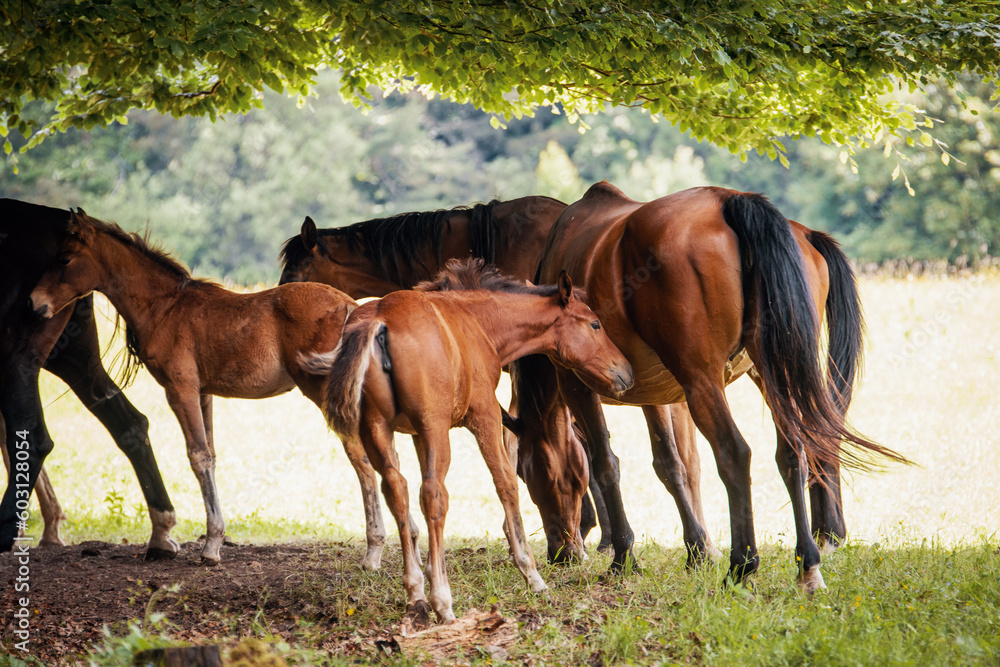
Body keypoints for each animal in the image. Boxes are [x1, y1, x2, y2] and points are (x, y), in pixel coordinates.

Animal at [1, 199, 175, 558]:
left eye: (66, 260)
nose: (34, 301)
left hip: (23, 355)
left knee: (33, 438)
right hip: (73, 357)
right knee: (130, 422)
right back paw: (161, 530)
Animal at [27, 210, 372, 566]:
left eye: (65, 258)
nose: (35, 302)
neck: (166, 307)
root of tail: (350, 306)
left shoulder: (180, 390)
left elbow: (198, 457)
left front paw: (210, 546)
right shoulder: (205, 393)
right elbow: (212, 454)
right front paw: (214, 540)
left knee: (360, 453)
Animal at [311, 258, 634, 623]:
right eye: (595, 324)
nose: (626, 372)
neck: (477, 321)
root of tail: (379, 320)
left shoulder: (416, 434)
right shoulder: (484, 415)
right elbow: (506, 484)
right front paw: (531, 574)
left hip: (377, 428)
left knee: (397, 490)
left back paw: (415, 593)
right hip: (435, 428)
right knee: (433, 495)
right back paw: (441, 599)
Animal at [514, 182, 906, 593]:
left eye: (527, 472)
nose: (561, 553)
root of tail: (729, 198)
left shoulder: (576, 385)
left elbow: (606, 464)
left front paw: (624, 557)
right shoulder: (652, 394)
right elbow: (671, 466)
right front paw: (697, 551)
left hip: (702, 382)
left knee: (735, 452)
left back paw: (742, 565)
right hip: (772, 373)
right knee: (793, 452)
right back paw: (807, 565)